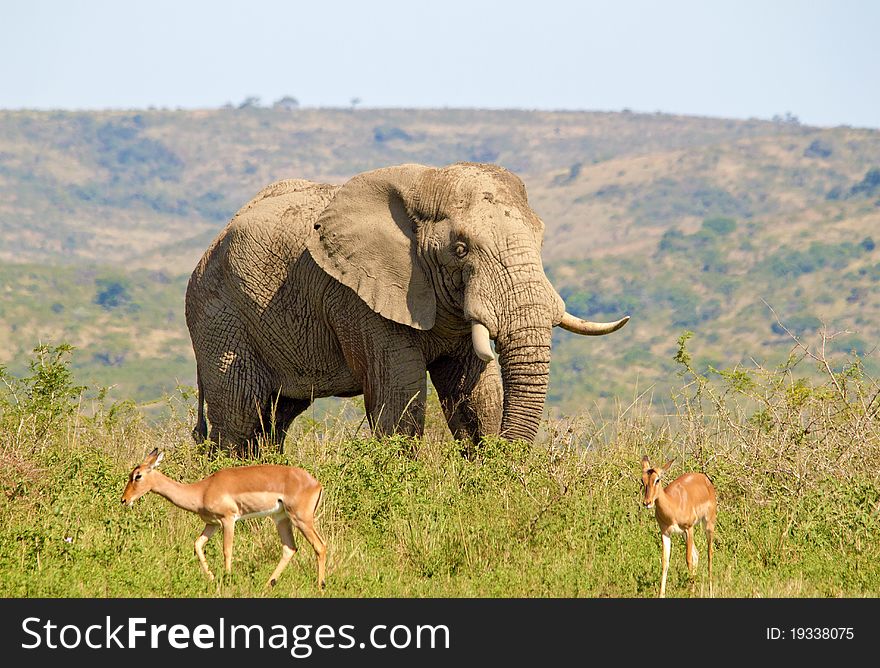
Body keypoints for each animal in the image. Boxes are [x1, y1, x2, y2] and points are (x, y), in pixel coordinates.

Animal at [186, 161, 628, 454]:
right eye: (461, 249)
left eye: (541, 239)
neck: (425, 185)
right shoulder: (359, 298)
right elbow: (400, 401)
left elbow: (476, 397)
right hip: (219, 317)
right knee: (239, 417)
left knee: (275, 419)